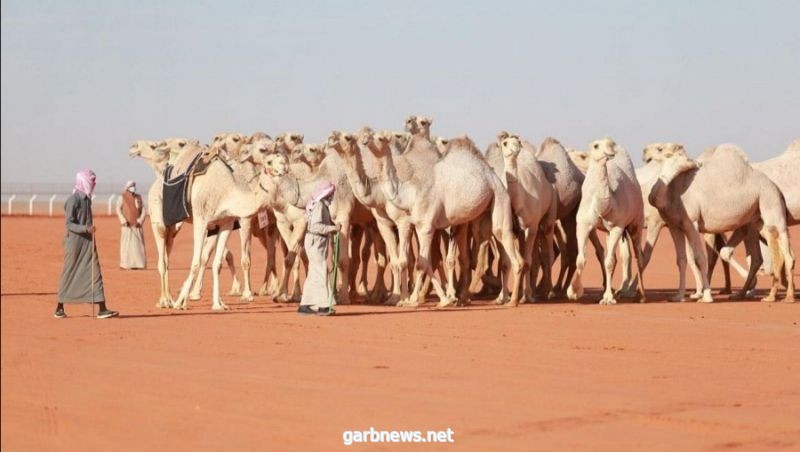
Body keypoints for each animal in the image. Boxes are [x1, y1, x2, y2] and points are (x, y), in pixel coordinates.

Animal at [364, 131, 524, 308]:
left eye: (379, 138)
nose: (365, 139)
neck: (410, 193)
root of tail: (495, 178)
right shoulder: (421, 226)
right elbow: (427, 262)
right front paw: (442, 299)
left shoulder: (426, 227)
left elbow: (421, 263)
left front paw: (413, 300)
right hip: (485, 211)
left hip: (500, 197)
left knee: (505, 241)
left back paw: (511, 301)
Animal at [564, 138, 648, 306]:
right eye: (596, 146)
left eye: (611, 143)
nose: (610, 152)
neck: (604, 206)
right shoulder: (583, 225)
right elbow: (581, 259)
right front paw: (574, 292)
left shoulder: (617, 227)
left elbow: (609, 261)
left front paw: (608, 297)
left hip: (636, 223)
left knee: (639, 256)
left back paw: (641, 296)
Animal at [648, 143, 792, 302]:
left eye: (660, 149)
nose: (645, 154)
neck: (672, 192)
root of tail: (777, 188)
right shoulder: (675, 226)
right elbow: (681, 260)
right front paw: (679, 296)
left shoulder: (692, 222)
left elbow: (700, 258)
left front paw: (706, 297)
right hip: (758, 220)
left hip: (770, 201)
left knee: (785, 250)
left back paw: (787, 296)